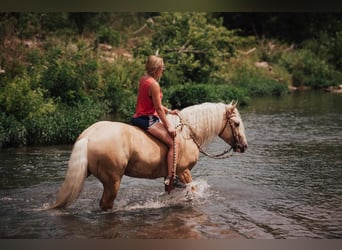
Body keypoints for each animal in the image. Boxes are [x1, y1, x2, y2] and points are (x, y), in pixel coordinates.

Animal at [48, 100, 247, 210]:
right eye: (236, 123)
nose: (244, 146)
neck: (188, 133)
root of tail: (88, 136)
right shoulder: (183, 172)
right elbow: (193, 192)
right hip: (112, 181)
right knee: (106, 204)